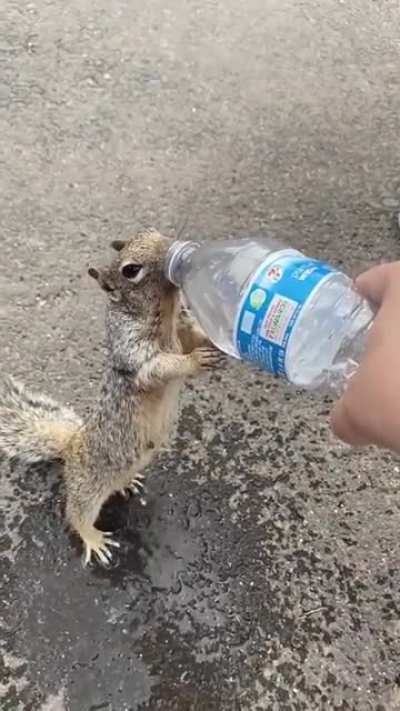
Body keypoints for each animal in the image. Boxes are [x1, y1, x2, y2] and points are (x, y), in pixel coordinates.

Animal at [0, 229, 223, 565]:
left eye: (151, 231)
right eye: (131, 270)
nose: (172, 248)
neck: (166, 312)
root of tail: (71, 446)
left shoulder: (182, 326)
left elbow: (193, 335)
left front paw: (218, 342)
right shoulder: (133, 351)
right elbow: (160, 367)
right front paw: (195, 361)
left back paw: (128, 482)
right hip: (88, 486)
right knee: (76, 513)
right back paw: (93, 539)